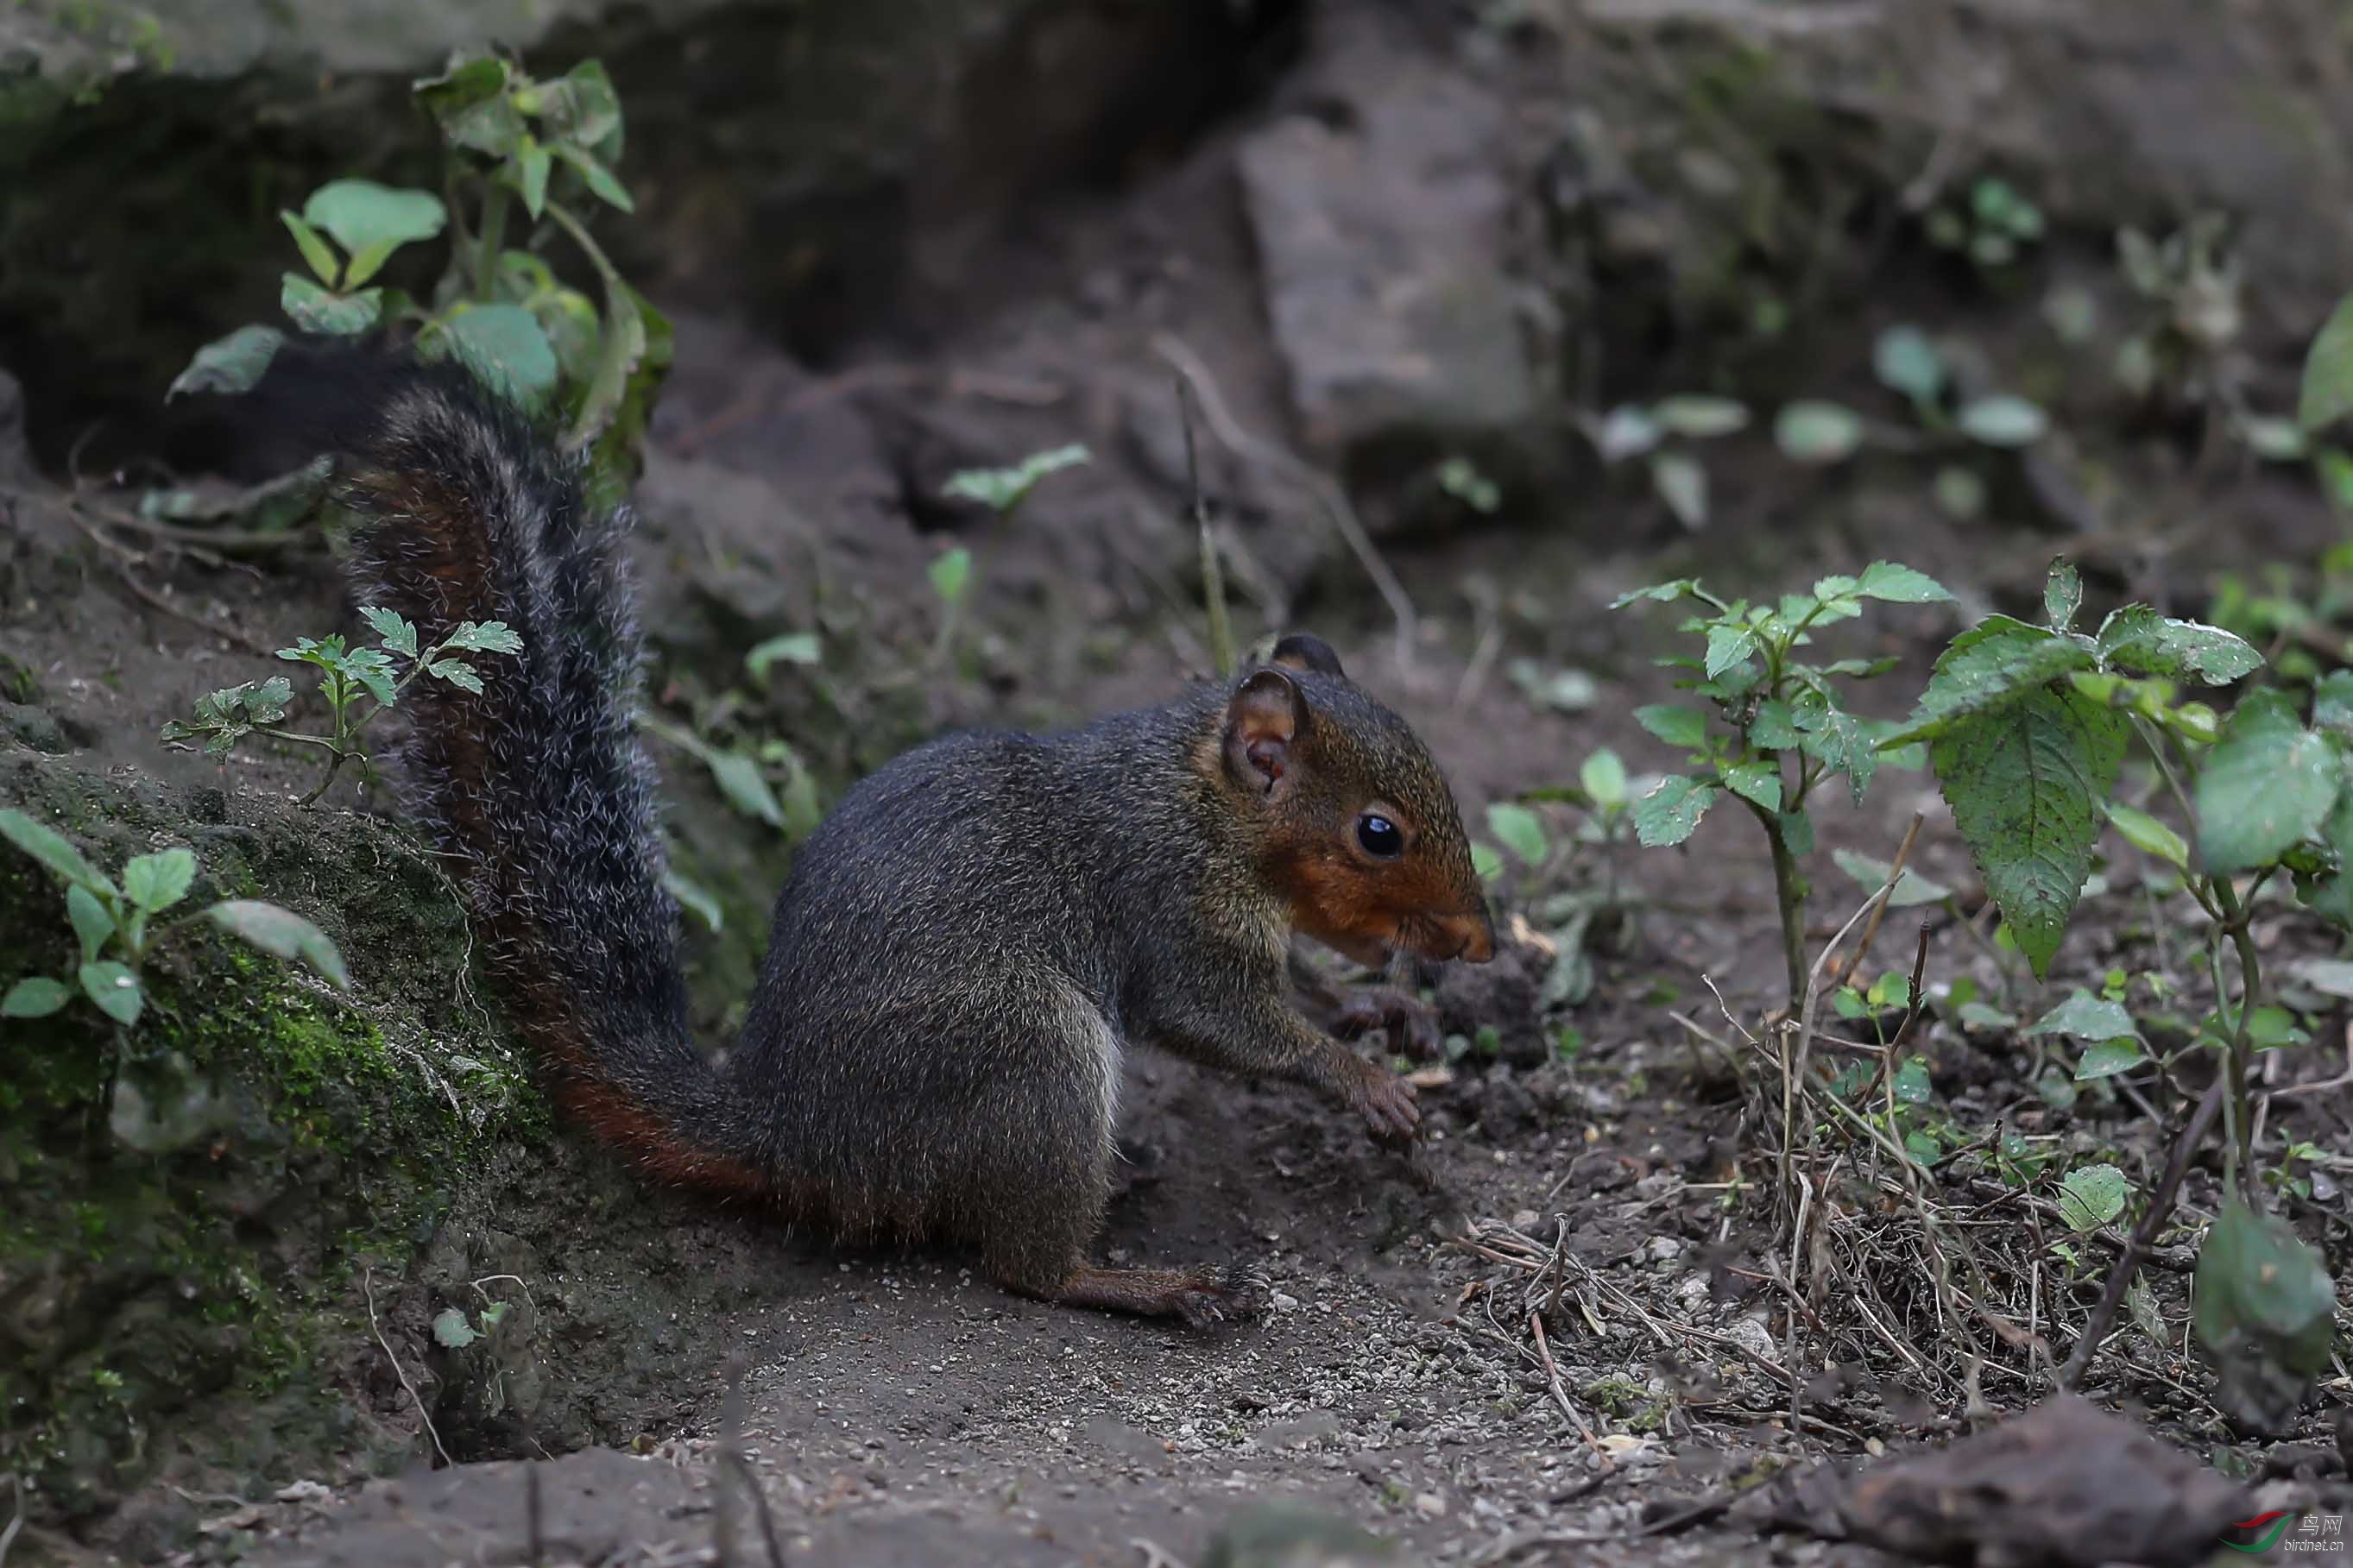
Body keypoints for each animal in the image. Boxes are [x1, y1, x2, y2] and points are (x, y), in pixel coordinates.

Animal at [234, 343, 1486, 1326]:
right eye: (1377, 831)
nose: (1473, 939)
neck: (1204, 804)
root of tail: (794, 1136)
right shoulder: (1171, 907)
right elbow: (1227, 1021)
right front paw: (1355, 1074)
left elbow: (1294, 991)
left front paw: (1382, 1012)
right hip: (1028, 1053)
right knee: (1022, 1269)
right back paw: (1147, 1281)